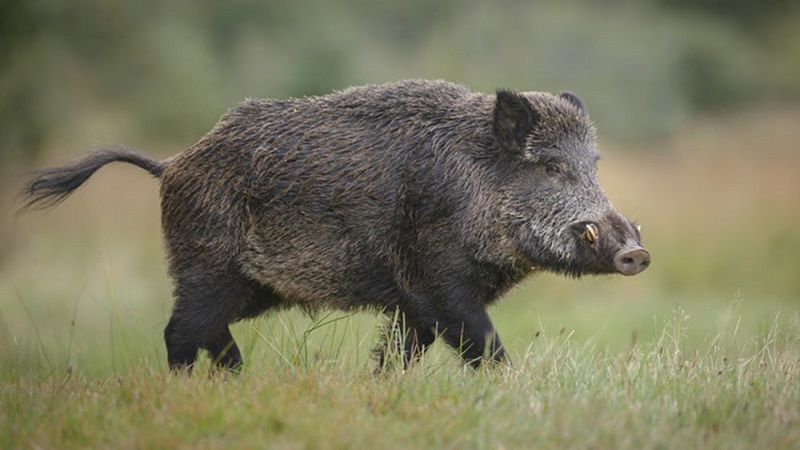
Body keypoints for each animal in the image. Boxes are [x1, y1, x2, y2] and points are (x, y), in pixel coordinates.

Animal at [19, 80, 650, 372]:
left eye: (594, 165)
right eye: (550, 166)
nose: (636, 253)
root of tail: (171, 164)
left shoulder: (413, 303)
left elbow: (400, 354)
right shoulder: (439, 282)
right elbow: (483, 345)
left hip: (249, 286)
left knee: (208, 332)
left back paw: (239, 379)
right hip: (206, 266)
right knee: (180, 331)